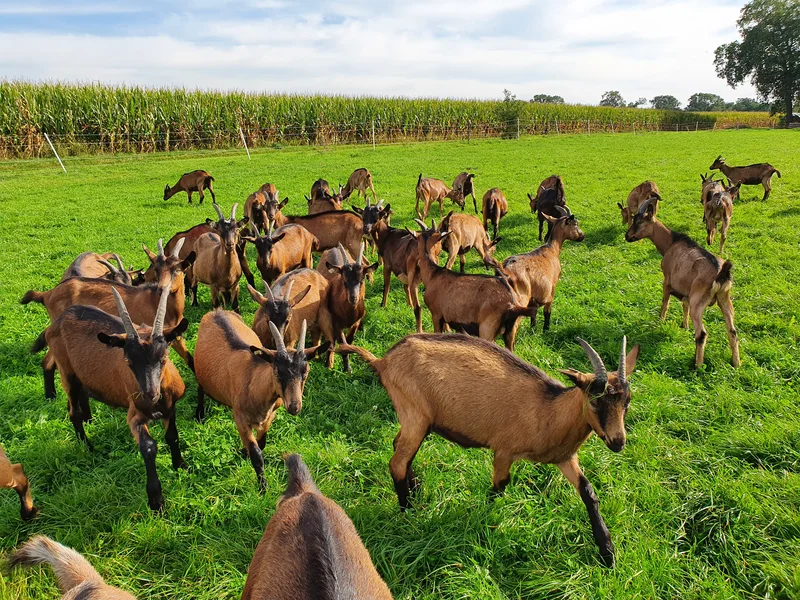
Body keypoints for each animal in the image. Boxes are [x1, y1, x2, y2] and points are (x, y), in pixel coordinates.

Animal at [22, 240, 195, 399]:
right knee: (48, 359)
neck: (158, 303)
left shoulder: (175, 336)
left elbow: (190, 359)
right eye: (157, 270)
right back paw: (51, 396)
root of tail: (47, 294)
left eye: (177, 269)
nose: (161, 288)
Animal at [46, 287, 188, 510]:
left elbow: (172, 436)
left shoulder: (170, 408)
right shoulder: (135, 415)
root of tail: (59, 320)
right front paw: (156, 500)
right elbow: (149, 447)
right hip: (66, 371)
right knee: (73, 411)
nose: (149, 394)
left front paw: (180, 465)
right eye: (128, 361)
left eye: (164, 357)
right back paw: (88, 447)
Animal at [193, 312, 328, 486]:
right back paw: (199, 415)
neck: (253, 383)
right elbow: (256, 453)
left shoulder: (271, 415)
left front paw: (243, 452)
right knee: (200, 388)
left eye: (306, 371)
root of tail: (216, 311)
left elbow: (261, 443)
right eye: (277, 372)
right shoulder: (240, 418)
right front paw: (263, 488)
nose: (294, 407)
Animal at [339, 334, 638, 567]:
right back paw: (408, 511)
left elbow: (588, 491)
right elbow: (499, 486)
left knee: (400, 449)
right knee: (397, 461)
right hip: (415, 414)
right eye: (595, 400)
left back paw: (415, 491)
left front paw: (608, 553)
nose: (618, 442)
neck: (548, 410)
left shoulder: (564, 458)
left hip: (415, 421)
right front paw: (483, 521)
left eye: (627, 401)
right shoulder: (504, 450)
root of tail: (383, 361)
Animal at [625, 197, 740, 367]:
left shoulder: (667, 281)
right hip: (724, 298)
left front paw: (660, 322)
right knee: (732, 331)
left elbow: (665, 304)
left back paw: (697, 365)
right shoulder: (686, 290)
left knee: (702, 333)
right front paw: (684, 326)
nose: (627, 236)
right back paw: (736, 363)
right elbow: (684, 306)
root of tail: (721, 272)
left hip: (698, 302)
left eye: (639, 222)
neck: (671, 242)